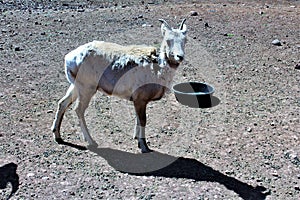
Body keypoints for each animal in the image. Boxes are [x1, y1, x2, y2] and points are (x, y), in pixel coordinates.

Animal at [51, 19, 188, 153]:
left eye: (185, 40)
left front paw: (137, 139)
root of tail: (69, 59)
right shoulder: (140, 99)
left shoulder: (138, 101)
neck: (157, 67)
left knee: (62, 103)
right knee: (78, 109)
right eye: (168, 40)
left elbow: (138, 119)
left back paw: (58, 137)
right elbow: (142, 120)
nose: (180, 56)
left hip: (76, 87)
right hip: (86, 89)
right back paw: (92, 142)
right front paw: (144, 146)